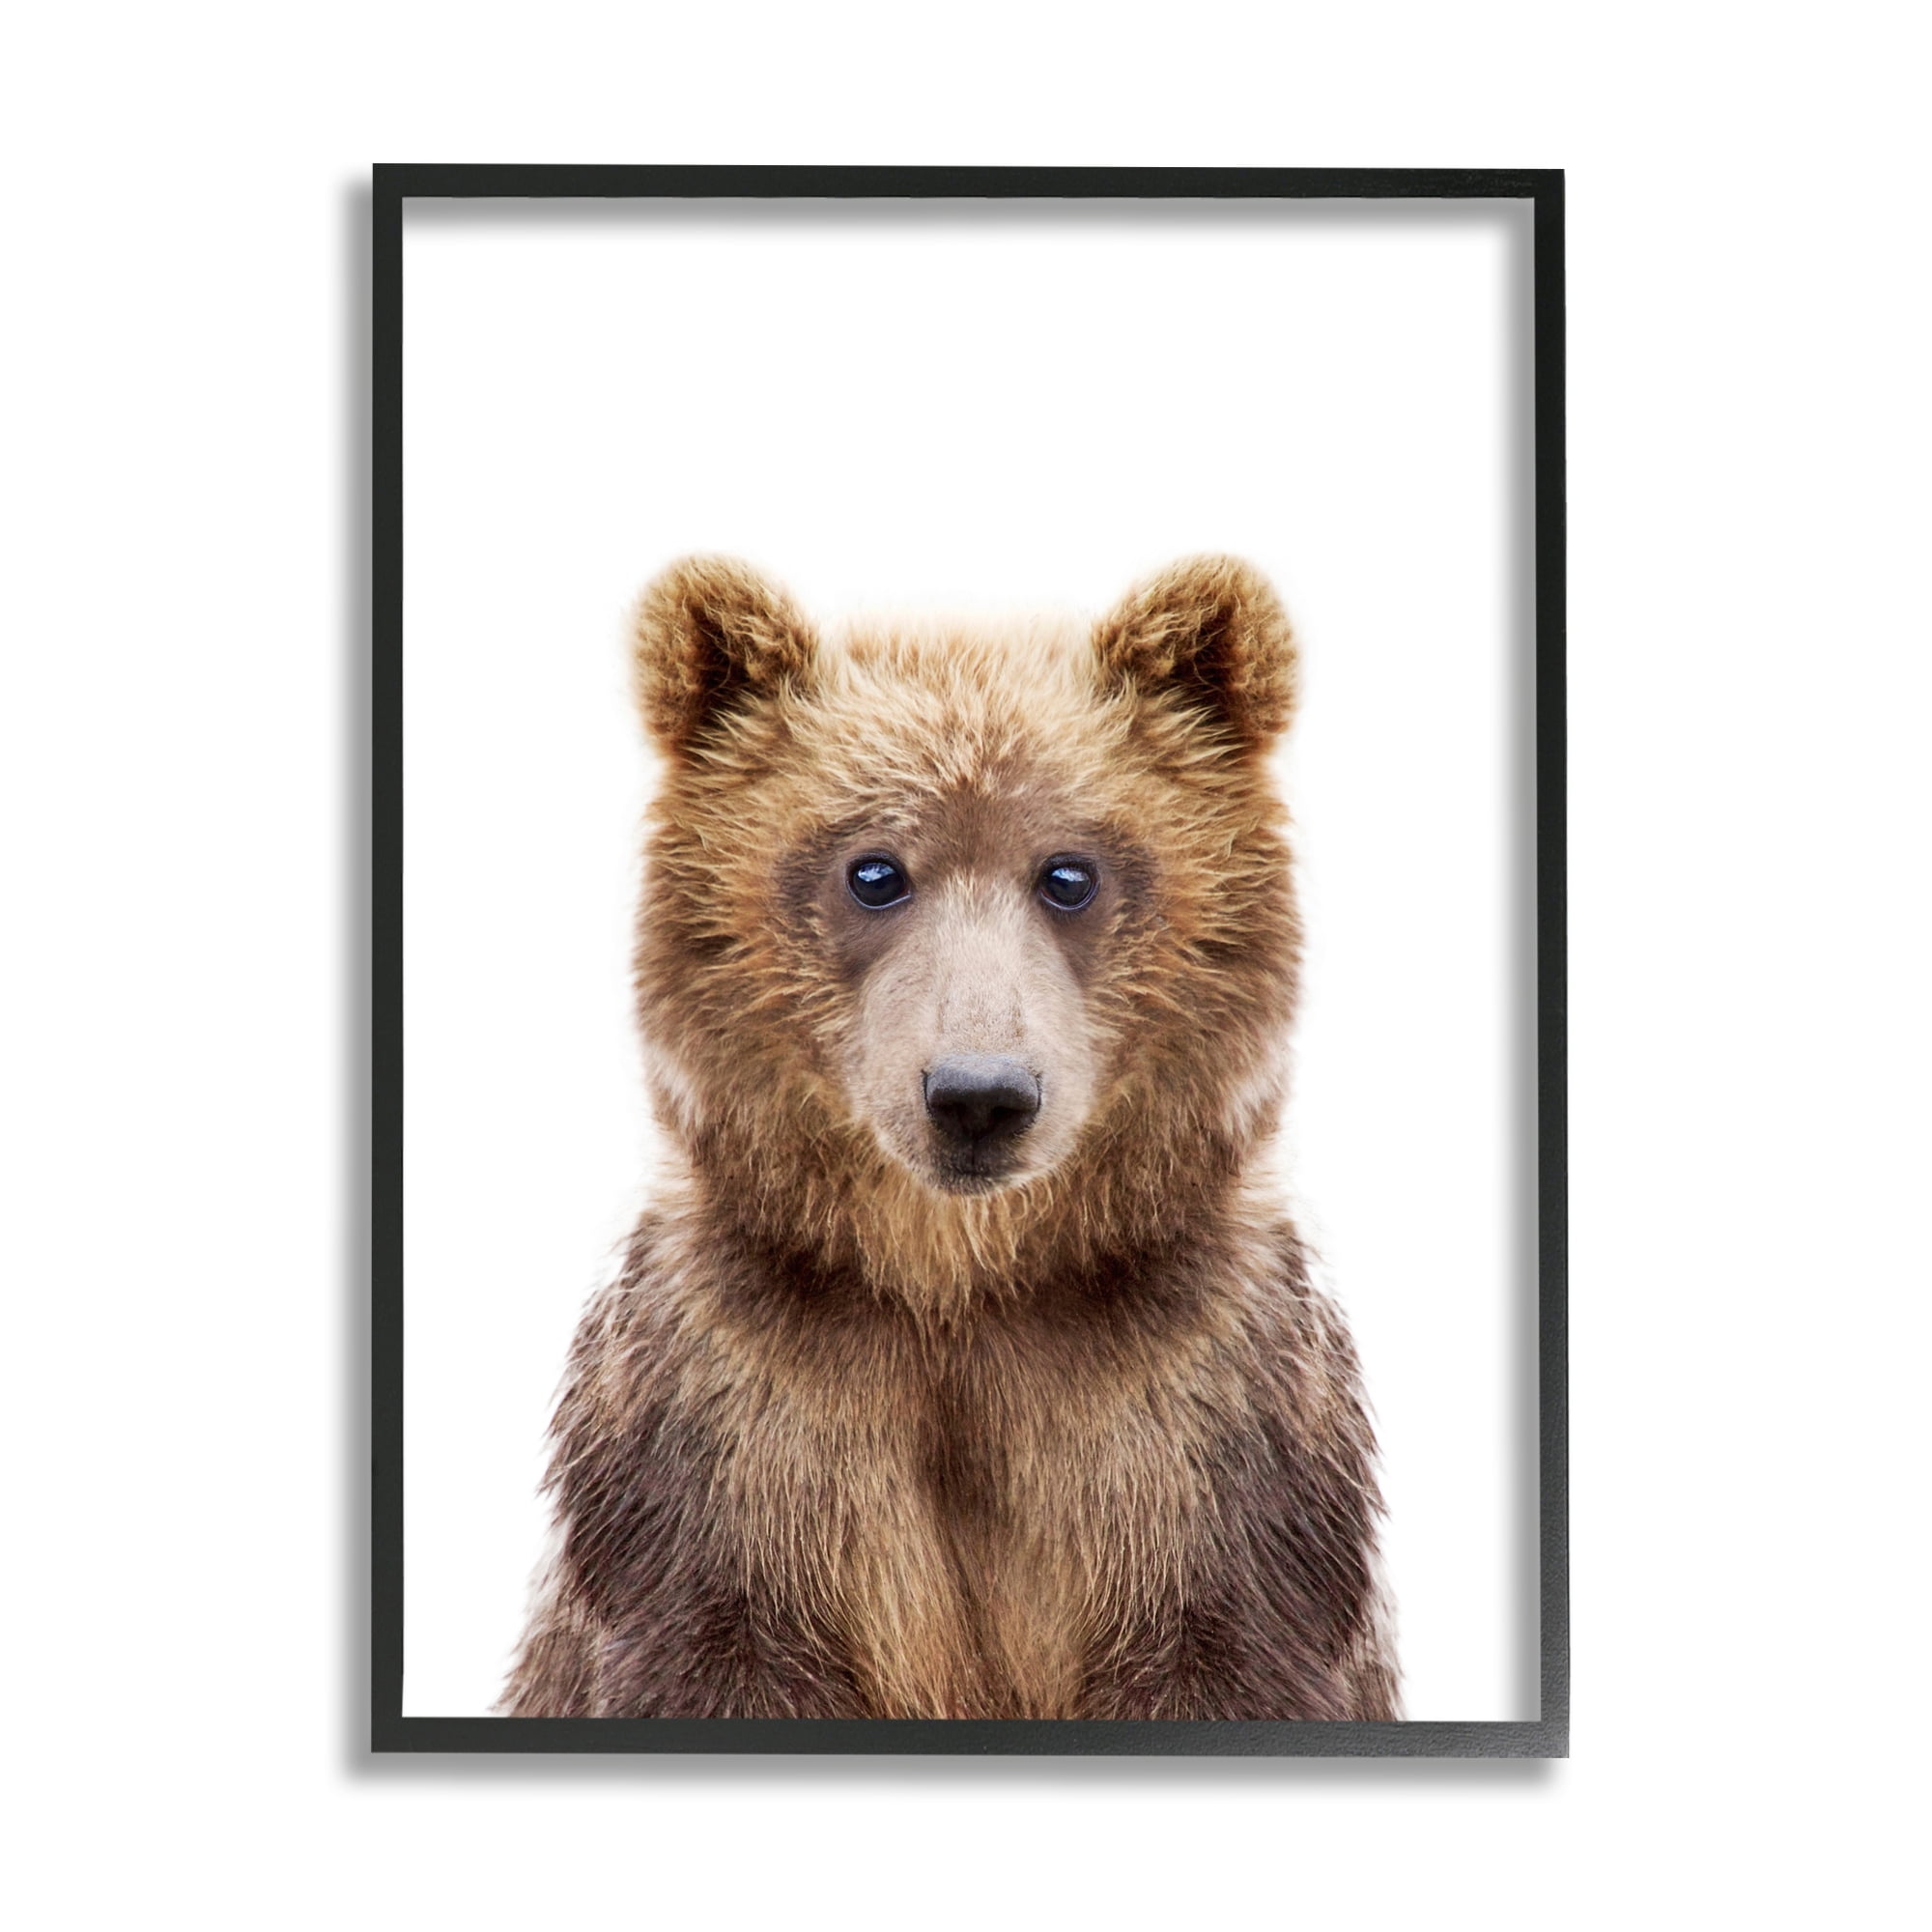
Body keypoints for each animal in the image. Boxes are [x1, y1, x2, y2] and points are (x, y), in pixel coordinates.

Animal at [499, 555, 1399, 1722]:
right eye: (873, 869)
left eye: (1069, 871)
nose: (978, 1095)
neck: (960, 1285)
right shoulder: (729, 1428)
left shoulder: (1203, 1429)